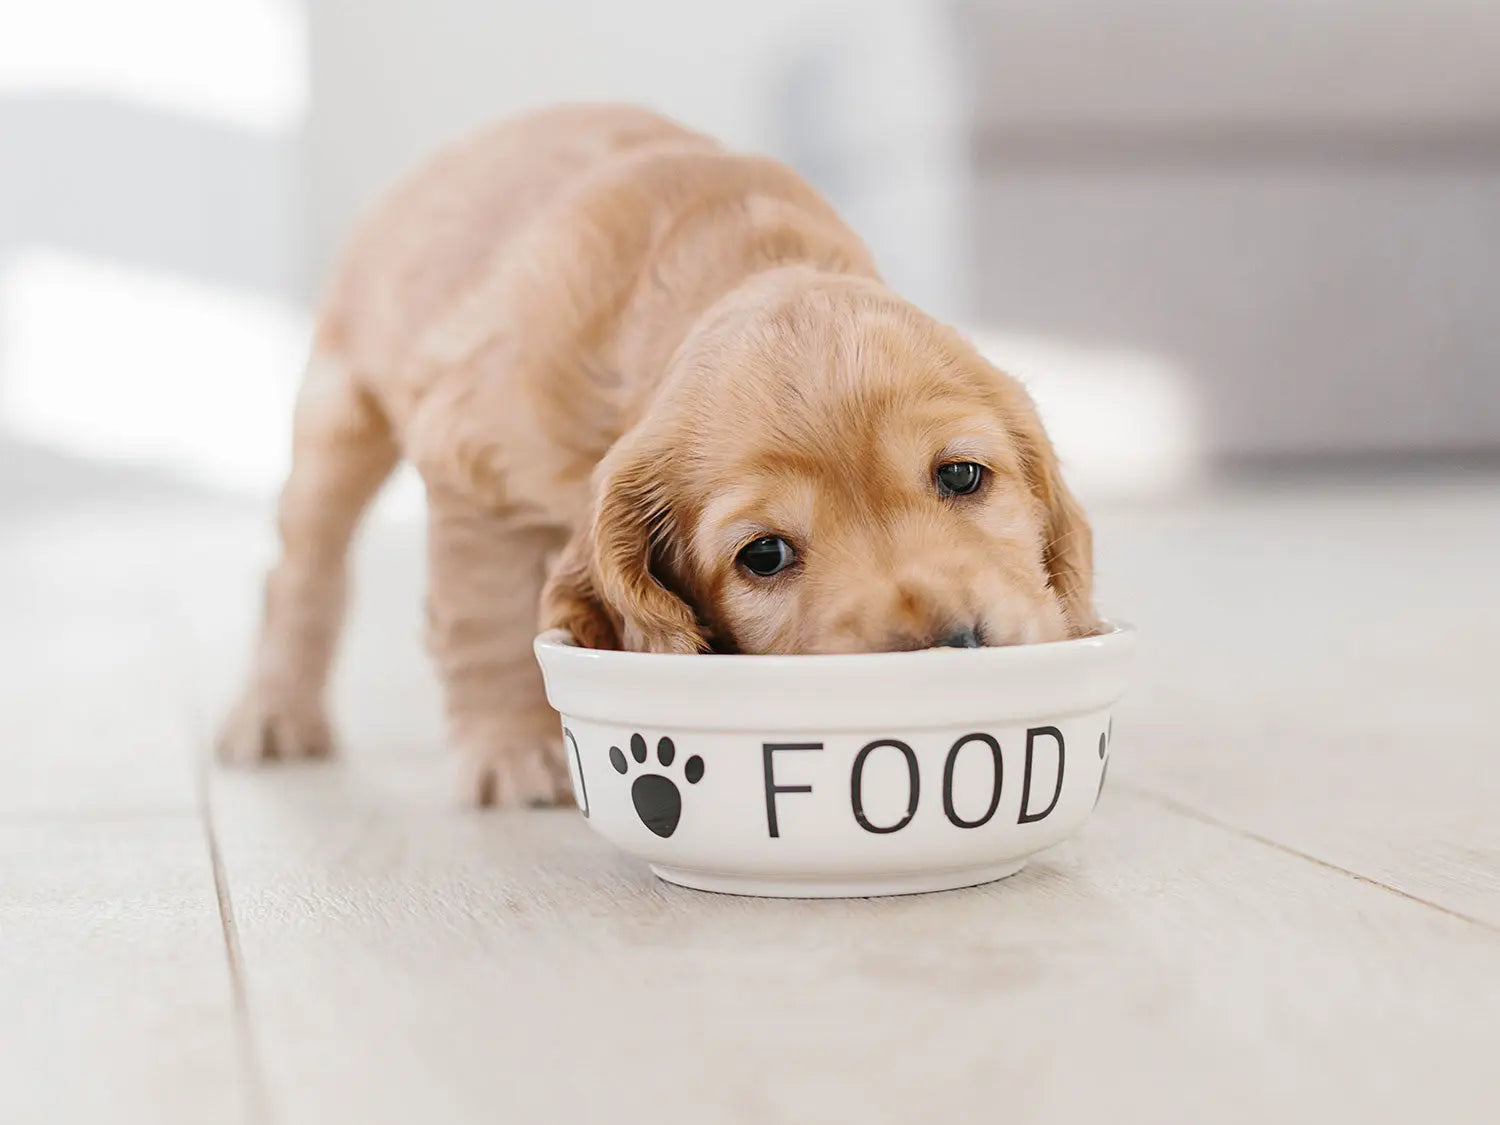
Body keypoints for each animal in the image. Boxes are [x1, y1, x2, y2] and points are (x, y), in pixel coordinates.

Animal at [217, 105, 1098, 804]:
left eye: (962, 473)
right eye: (764, 554)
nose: (954, 643)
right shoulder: (476, 467)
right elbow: (487, 616)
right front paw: (511, 750)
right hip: (338, 413)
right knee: (301, 571)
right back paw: (275, 713)